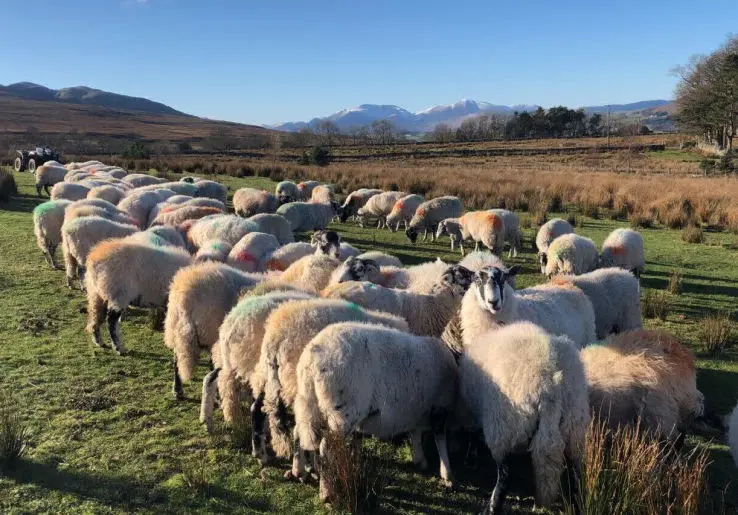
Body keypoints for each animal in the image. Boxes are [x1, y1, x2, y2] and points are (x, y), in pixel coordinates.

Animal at [292, 320, 454, 498]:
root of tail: (311, 358)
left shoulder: (418, 409)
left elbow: (416, 433)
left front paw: (420, 460)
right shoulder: (440, 406)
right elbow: (440, 439)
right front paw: (447, 474)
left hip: (310, 401)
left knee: (299, 432)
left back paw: (299, 471)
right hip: (342, 412)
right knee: (327, 447)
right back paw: (327, 492)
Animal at [458, 322, 588, 512]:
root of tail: (551, 385)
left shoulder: (470, 410)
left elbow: (472, 435)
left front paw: (470, 459)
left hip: (503, 426)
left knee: (506, 474)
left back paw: (492, 507)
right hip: (574, 425)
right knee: (575, 472)